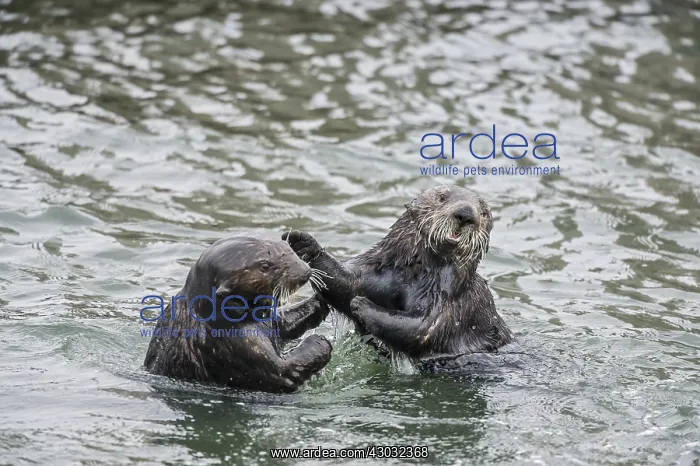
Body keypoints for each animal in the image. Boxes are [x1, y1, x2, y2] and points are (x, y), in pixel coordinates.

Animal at [143, 236, 332, 393]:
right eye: (264, 266)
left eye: (288, 247)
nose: (305, 271)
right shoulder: (242, 346)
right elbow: (283, 371)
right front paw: (320, 341)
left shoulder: (268, 321)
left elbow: (284, 323)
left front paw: (318, 301)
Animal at [282, 185, 513, 362]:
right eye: (442, 197)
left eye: (484, 212)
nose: (466, 214)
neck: (414, 276)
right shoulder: (377, 271)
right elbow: (346, 284)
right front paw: (303, 243)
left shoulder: (449, 301)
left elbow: (421, 328)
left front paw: (362, 305)